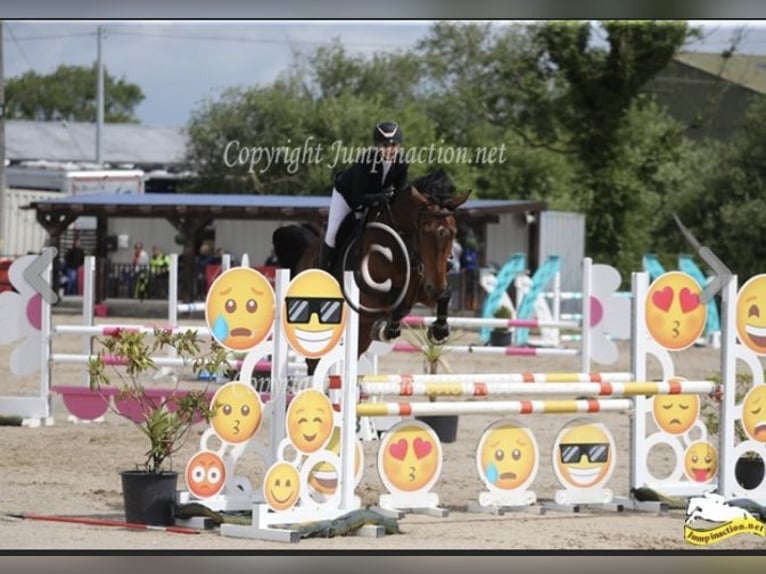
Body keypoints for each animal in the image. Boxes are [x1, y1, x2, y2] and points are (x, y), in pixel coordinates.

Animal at [272, 169, 472, 372]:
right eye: (424, 231)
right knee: (314, 361)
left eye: (454, 232)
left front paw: (439, 331)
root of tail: (305, 253)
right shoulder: (367, 296)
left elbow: (443, 296)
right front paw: (387, 329)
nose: (436, 287)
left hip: (360, 334)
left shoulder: (424, 289)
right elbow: (395, 300)